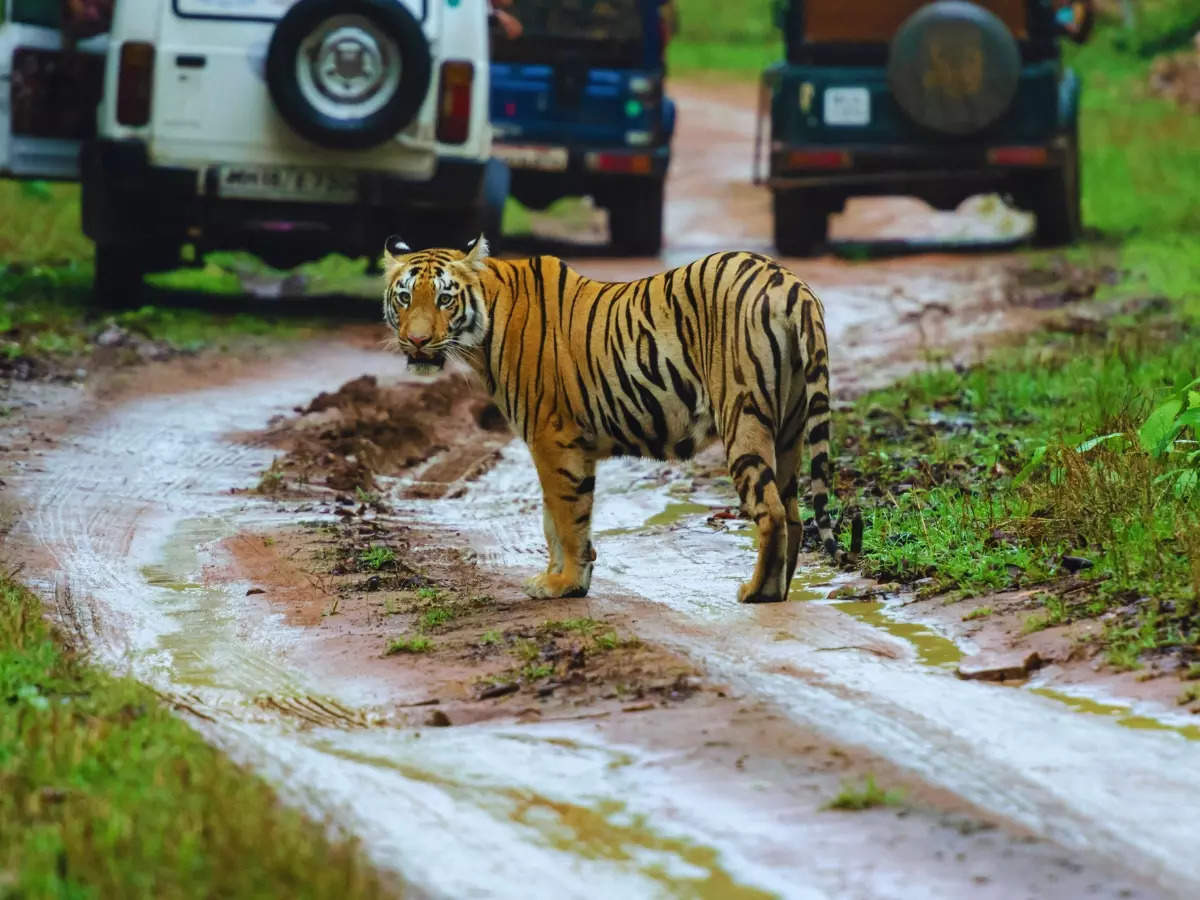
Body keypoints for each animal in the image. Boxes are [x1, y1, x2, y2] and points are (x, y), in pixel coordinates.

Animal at [379, 234, 849, 607]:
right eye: (405, 297)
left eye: (445, 298)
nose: (416, 341)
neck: (484, 328)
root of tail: (789, 282)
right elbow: (555, 518)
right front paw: (561, 578)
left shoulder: (552, 438)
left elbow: (566, 517)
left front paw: (564, 583)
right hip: (790, 427)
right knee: (794, 513)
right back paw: (781, 589)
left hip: (743, 416)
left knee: (770, 510)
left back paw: (757, 593)